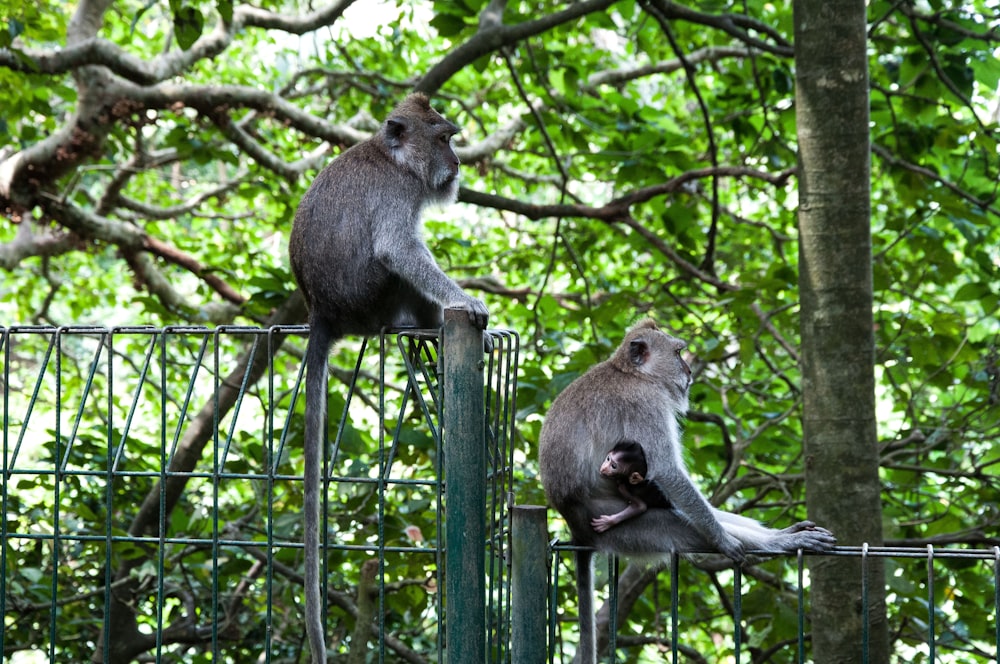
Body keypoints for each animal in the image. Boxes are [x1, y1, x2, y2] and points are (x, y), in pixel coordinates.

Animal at [288, 93, 490, 664]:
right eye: (444, 139)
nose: (458, 163)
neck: (395, 159)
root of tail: (322, 314)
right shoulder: (400, 196)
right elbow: (400, 251)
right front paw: (467, 302)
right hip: (371, 298)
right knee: (398, 270)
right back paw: (425, 323)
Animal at [540, 320, 836, 660]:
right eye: (678, 353)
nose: (690, 370)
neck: (633, 374)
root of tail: (575, 526)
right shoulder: (645, 405)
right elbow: (667, 471)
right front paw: (724, 540)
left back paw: (782, 535)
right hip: (619, 526)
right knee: (681, 527)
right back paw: (777, 543)